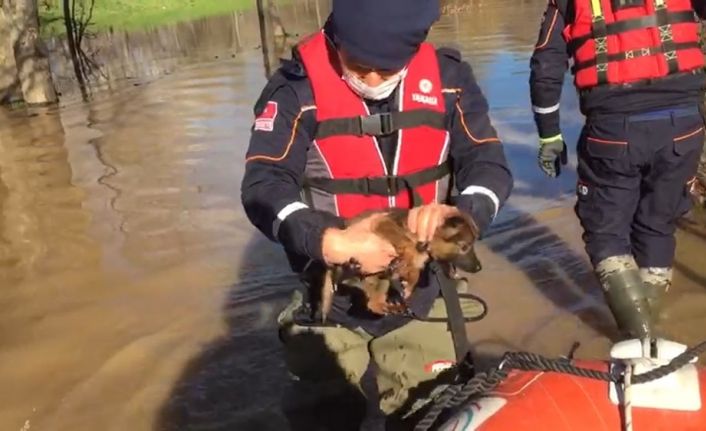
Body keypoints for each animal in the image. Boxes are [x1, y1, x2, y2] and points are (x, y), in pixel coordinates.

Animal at [318, 208, 478, 322]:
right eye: (465, 247)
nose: (479, 267)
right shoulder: (383, 222)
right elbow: (404, 241)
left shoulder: (410, 266)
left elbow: (413, 273)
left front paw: (409, 286)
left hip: (378, 279)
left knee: (373, 304)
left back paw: (391, 308)